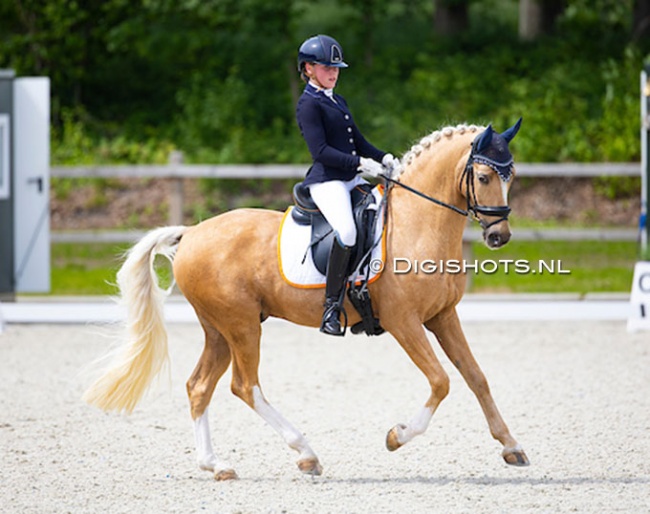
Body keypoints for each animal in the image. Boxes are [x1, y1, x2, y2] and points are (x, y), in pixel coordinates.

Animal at [82, 119, 528, 476]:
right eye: (484, 177)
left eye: (511, 176)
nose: (499, 236)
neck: (418, 224)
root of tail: (191, 232)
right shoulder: (404, 322)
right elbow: (441, 381)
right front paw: (396, 436)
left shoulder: (443, 316)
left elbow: (476, 377)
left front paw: (512, 446)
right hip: (240, 326)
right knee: (245, 386)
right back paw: (305, 453)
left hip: (220, 329)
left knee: (199, 386)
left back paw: (216, 465)